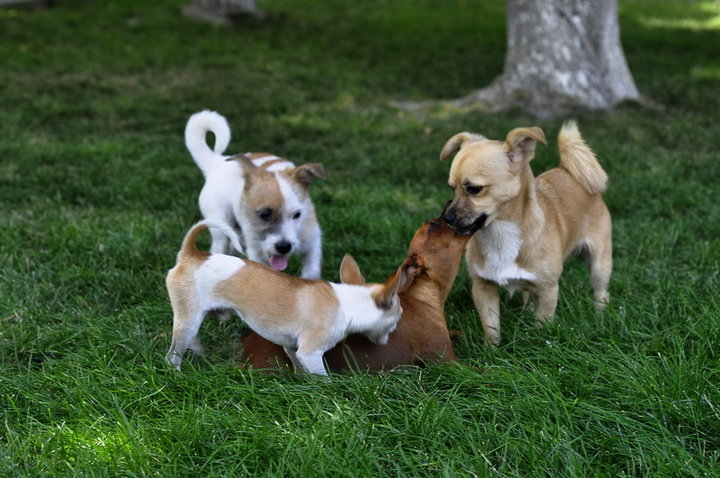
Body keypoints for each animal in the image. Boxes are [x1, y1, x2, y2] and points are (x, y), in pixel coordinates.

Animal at [165, 222, 416, 376]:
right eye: (397, 318)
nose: (388, 339)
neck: (348, 303)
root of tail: (191, 254)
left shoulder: (294, 349)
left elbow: (300, 367)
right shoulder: (311, 352)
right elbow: (322, 377)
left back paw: (196, 348)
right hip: (189, 318)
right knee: (173, 355)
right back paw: (177, 373)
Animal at [186, 110, 324, 278]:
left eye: (297, 215)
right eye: (264, 214)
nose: (284, 247)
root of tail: (218, 162)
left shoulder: (313, 239)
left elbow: (312, 271)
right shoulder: (257, 252)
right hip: (220, 228)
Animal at [438, 119, 612, 344]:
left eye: (474, 189)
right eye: (452, 188)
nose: (447, 219)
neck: (499, 232)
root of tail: (568, 171)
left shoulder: (548, 290)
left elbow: (543, 326)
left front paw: (540, 343)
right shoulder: (483, 288)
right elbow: (491, 327)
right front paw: (491, 348)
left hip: (600, 264)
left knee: (601, 292)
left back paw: (600, 317)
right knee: (528, 295)